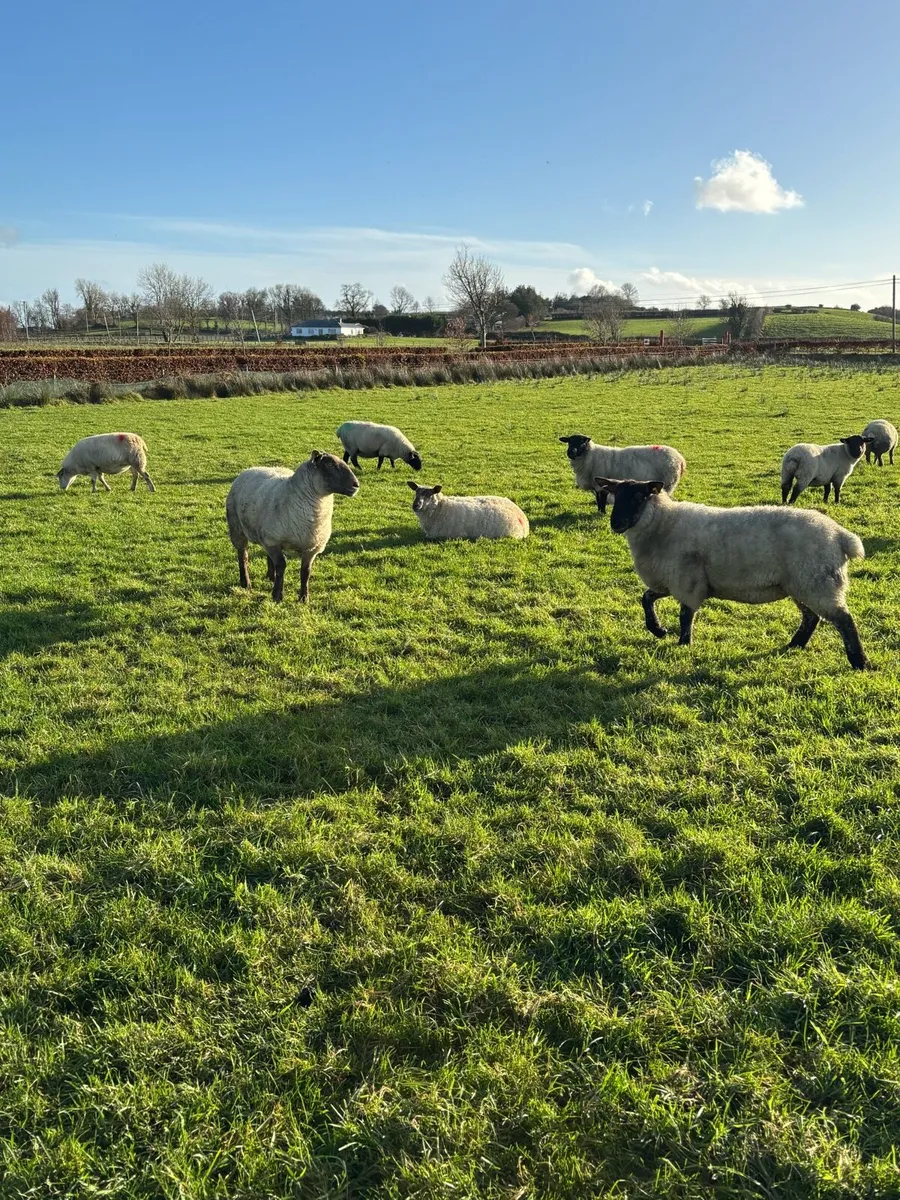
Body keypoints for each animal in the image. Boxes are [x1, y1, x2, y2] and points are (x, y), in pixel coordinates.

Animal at [225, 450, 359, 603]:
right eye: (330, 464)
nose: (356, 485)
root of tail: (249, 469)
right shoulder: (273, 541)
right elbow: (281, 565)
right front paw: (277, 596)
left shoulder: (310, 548)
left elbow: (305, 572)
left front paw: (303, 598)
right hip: (237, 529)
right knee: (243, 556)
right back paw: (246, 583)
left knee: (267, 556)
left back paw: (271, 577)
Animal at [595, 476, 868, 670]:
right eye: (615, 495)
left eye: (639, 496)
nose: (616, 523)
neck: (663, 523)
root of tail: (841, 537)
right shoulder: (671, 581)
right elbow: (646, 598)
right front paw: (658, 630)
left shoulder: (688, 582)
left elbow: (685, 616)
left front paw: (683, 644)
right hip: (802, 584)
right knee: (811, 617)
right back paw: (795, 645)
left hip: (817, 582)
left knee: (844, 620)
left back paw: (860, 663)